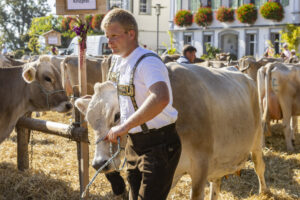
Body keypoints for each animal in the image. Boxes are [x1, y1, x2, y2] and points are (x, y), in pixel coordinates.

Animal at [75, 63, 268, 199]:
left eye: (116, 116)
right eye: (89, 121)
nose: (99, 163)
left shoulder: (201, 164)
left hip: (257, 139)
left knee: (259, 166)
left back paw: (264, 191)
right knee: (216, 182)